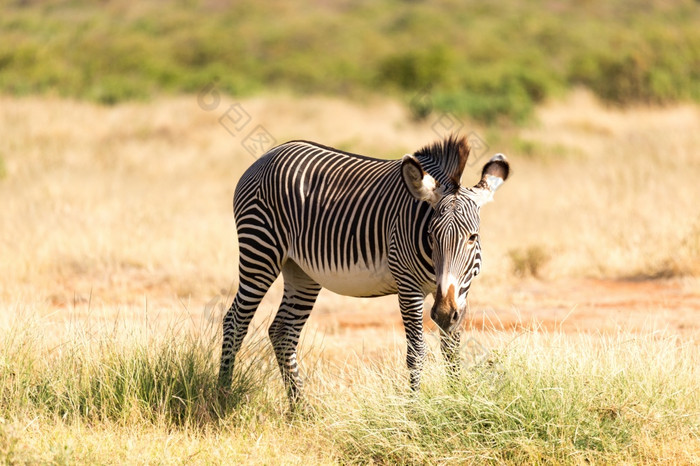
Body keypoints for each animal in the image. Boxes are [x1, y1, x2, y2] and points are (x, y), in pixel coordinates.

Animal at [219, 134, 508, 404]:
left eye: (472, 237)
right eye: (431, 235)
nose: (445, 313)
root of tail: (270, 153)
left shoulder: (460, 292)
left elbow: (451, 350)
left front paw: (457, 399)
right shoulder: (408, 286)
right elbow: (416, 352)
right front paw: (414, 411)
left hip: (300, 270)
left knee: (283, 332)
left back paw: (300, 409)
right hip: (260, 250)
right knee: (235, 321)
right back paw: (222, 397)